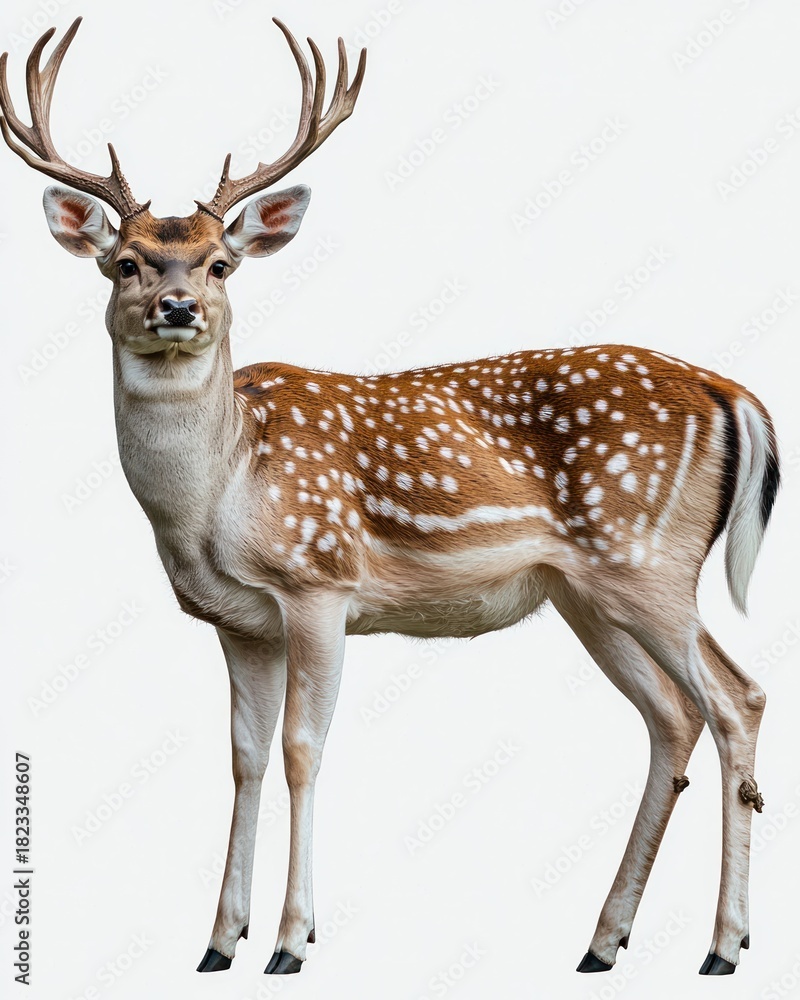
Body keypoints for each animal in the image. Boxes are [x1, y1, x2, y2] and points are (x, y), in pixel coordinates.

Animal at [1, 16, 780, 979]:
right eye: (122, 264)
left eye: (221, 265)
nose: (177, 306)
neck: (217, 497)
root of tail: (730, 390)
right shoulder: (236, 620)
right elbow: (245, 757)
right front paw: (219, 941)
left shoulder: (320, 583)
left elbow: (303, 750)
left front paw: (292, 941)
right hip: (585, 593)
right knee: (671, 717)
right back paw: (604, 941)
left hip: (649, 558)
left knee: (737, 699)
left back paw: (725, 945)